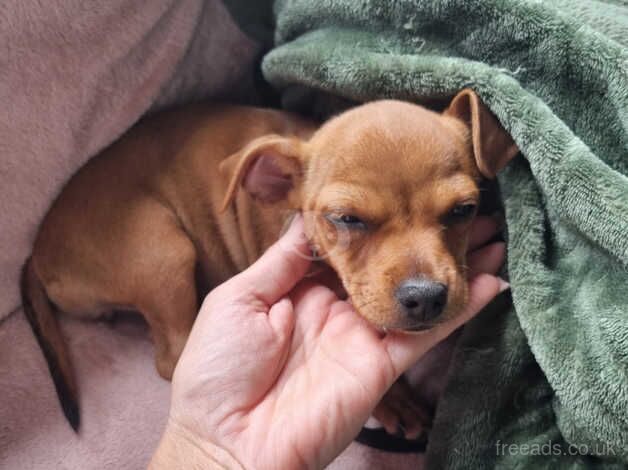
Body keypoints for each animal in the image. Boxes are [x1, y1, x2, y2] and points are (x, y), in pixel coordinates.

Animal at [22, 89, 516, 434]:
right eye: (346, 219)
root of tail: (36, 253)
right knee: (171, 355)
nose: (426, 298)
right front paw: (394, 400)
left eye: (464, 211)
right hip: (163, 248)